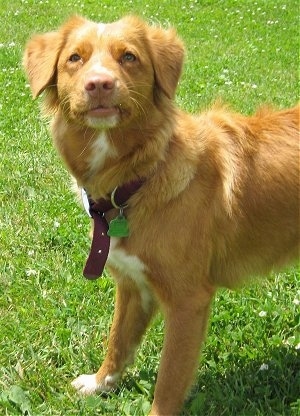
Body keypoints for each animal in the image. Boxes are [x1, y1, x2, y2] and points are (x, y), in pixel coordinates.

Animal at [22, 15, 298, 416]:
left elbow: (168, 380)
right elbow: (118, 341)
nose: (99, 84)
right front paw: (100, 383)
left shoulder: (188, 301)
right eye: (75, 58)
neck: (139, 178)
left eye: (129, 57)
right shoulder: (133, 285)